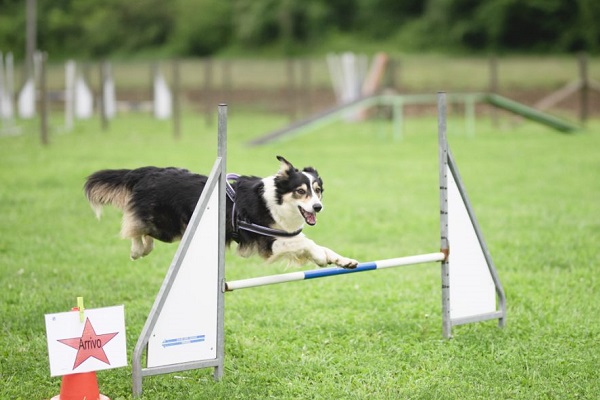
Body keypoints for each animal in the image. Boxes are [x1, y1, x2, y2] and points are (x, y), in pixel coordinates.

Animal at [82, 156, 358, 268]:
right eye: (301, 191)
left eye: (318, 190)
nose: (318, 207)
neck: (277, 201)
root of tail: (148, 172)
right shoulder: (267, 243)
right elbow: (307, 243)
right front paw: (321, 257)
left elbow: (317, 245)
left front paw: (342, 260)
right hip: (166, 226)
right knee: (136, 229)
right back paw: (137, 250)